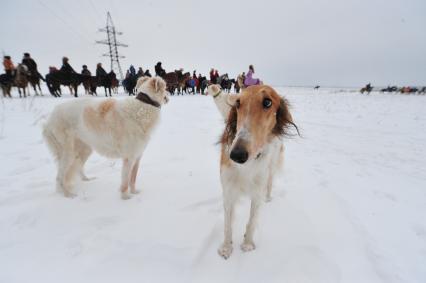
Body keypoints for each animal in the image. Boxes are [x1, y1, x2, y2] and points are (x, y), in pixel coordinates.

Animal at [216, 85, 296, 260]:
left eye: (267, 102)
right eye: (237, 103)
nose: (237, 155)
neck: (248, 165)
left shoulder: (257, 190)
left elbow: (252, 220)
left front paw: (247, 244)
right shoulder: (228, 188)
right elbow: (227, 223)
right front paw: (226, 247)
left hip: (272, 166)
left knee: (270, 182)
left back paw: (269, 197)